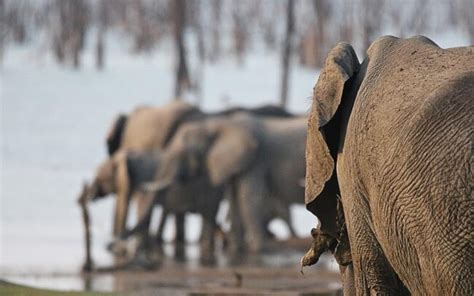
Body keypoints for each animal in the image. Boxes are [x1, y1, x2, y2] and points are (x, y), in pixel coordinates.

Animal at [145, 112, 308, 253]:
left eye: (181, 153)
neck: (217, 125)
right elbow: (234, 199)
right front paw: (236, 250)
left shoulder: (255, 161)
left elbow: (248, 198)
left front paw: (257, 249)